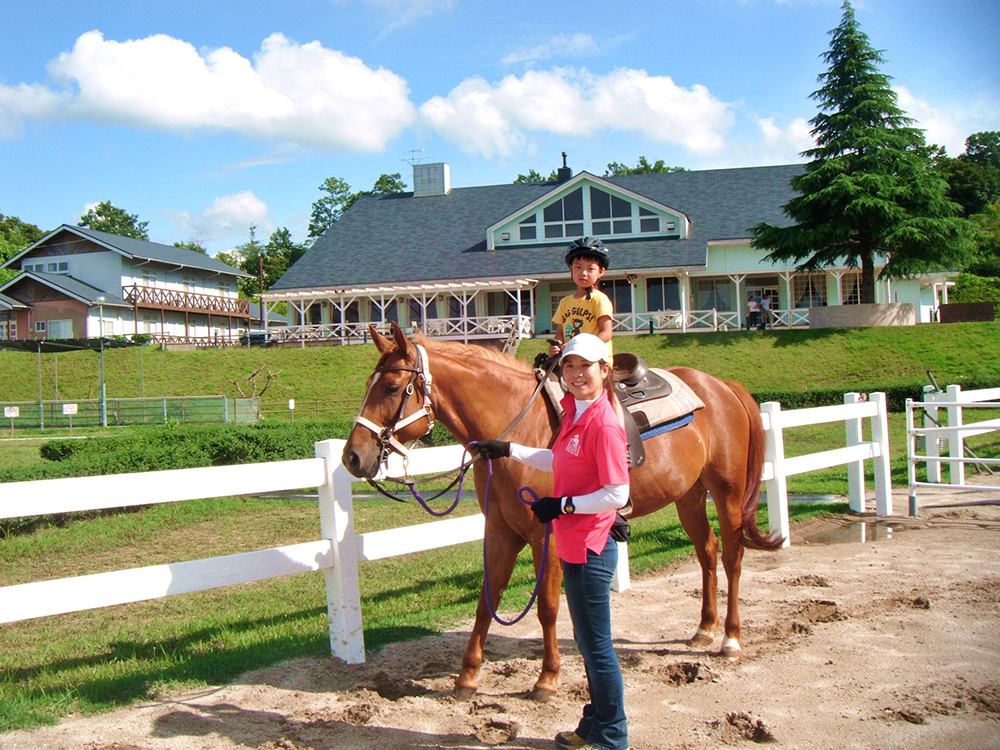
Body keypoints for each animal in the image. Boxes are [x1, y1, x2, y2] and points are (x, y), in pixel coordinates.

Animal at [346, 324, 780, 704]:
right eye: (367, 385)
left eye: (391, 387)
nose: (352, 457)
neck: (522, 428)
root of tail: (722, 386)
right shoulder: (500, 532)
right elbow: (487, 601)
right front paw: (467, 676)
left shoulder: (546, 536)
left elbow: (548, 607)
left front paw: (547, 679)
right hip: (689, 496)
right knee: (707, 550)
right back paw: (704, 629)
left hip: (726, 492)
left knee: (732, 556)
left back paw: (730, 639)